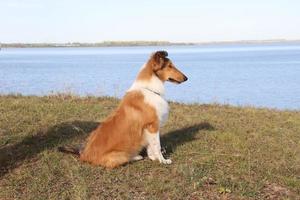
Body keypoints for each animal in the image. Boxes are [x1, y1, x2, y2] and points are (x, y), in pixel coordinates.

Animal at [59, 50, 188, 168]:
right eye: (170, 66)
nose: (186, 78)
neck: (150, 89)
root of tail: (84, 155)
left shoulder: (149, 129)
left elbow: (151, 146)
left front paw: (153, 158)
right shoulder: (153, 126)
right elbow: (157, 146)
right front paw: (162, 160)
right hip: (118, 156)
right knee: (123, 160)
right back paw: (136, 156)